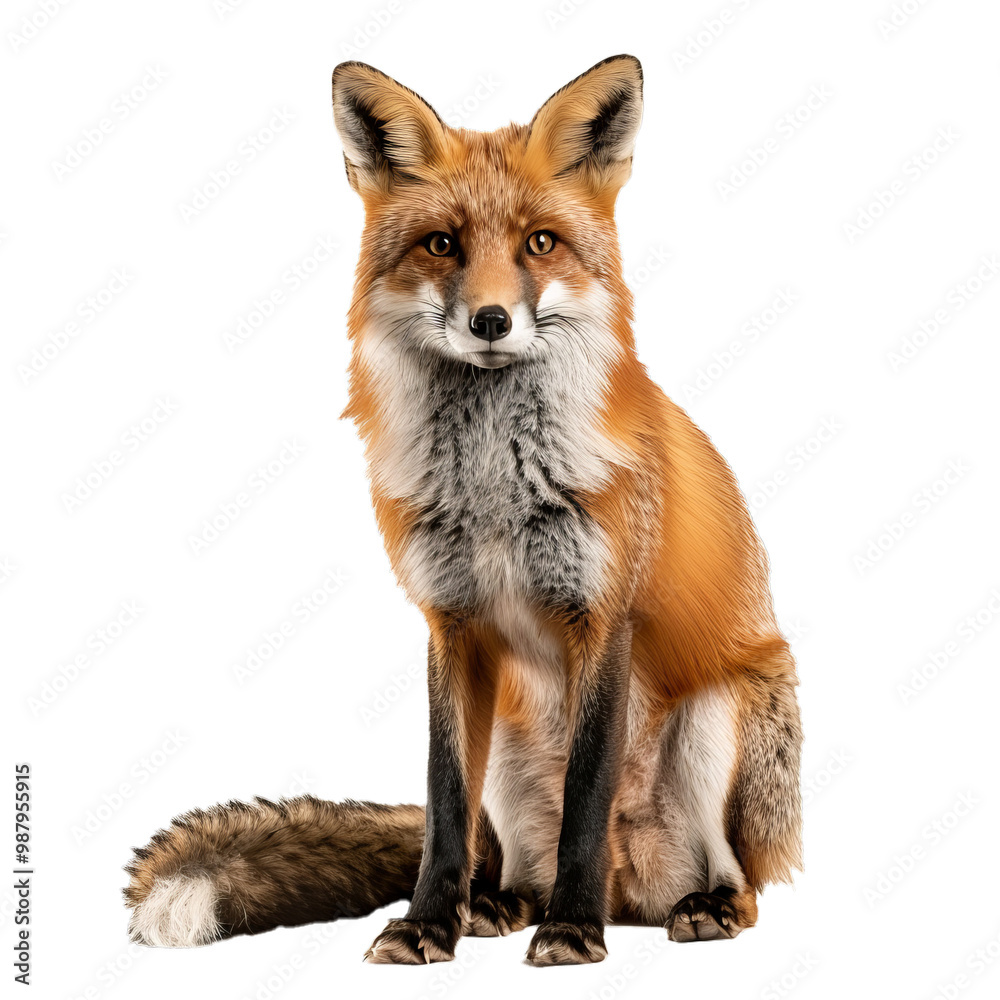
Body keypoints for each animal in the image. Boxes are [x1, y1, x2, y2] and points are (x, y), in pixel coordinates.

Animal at [124, 54, 802, 966]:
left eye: (539, 243)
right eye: (442, 244)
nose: (490, 320)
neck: (494, 495)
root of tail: (635, 892)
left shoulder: (603, 616)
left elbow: (587, 798)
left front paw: (573, 932)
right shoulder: (452, 624)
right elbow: (444, 804)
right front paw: (425, 925)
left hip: (716, 723)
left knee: (744, 880)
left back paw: (692, 907)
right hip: (511, 751)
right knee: (498, 852)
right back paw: (496, 903)